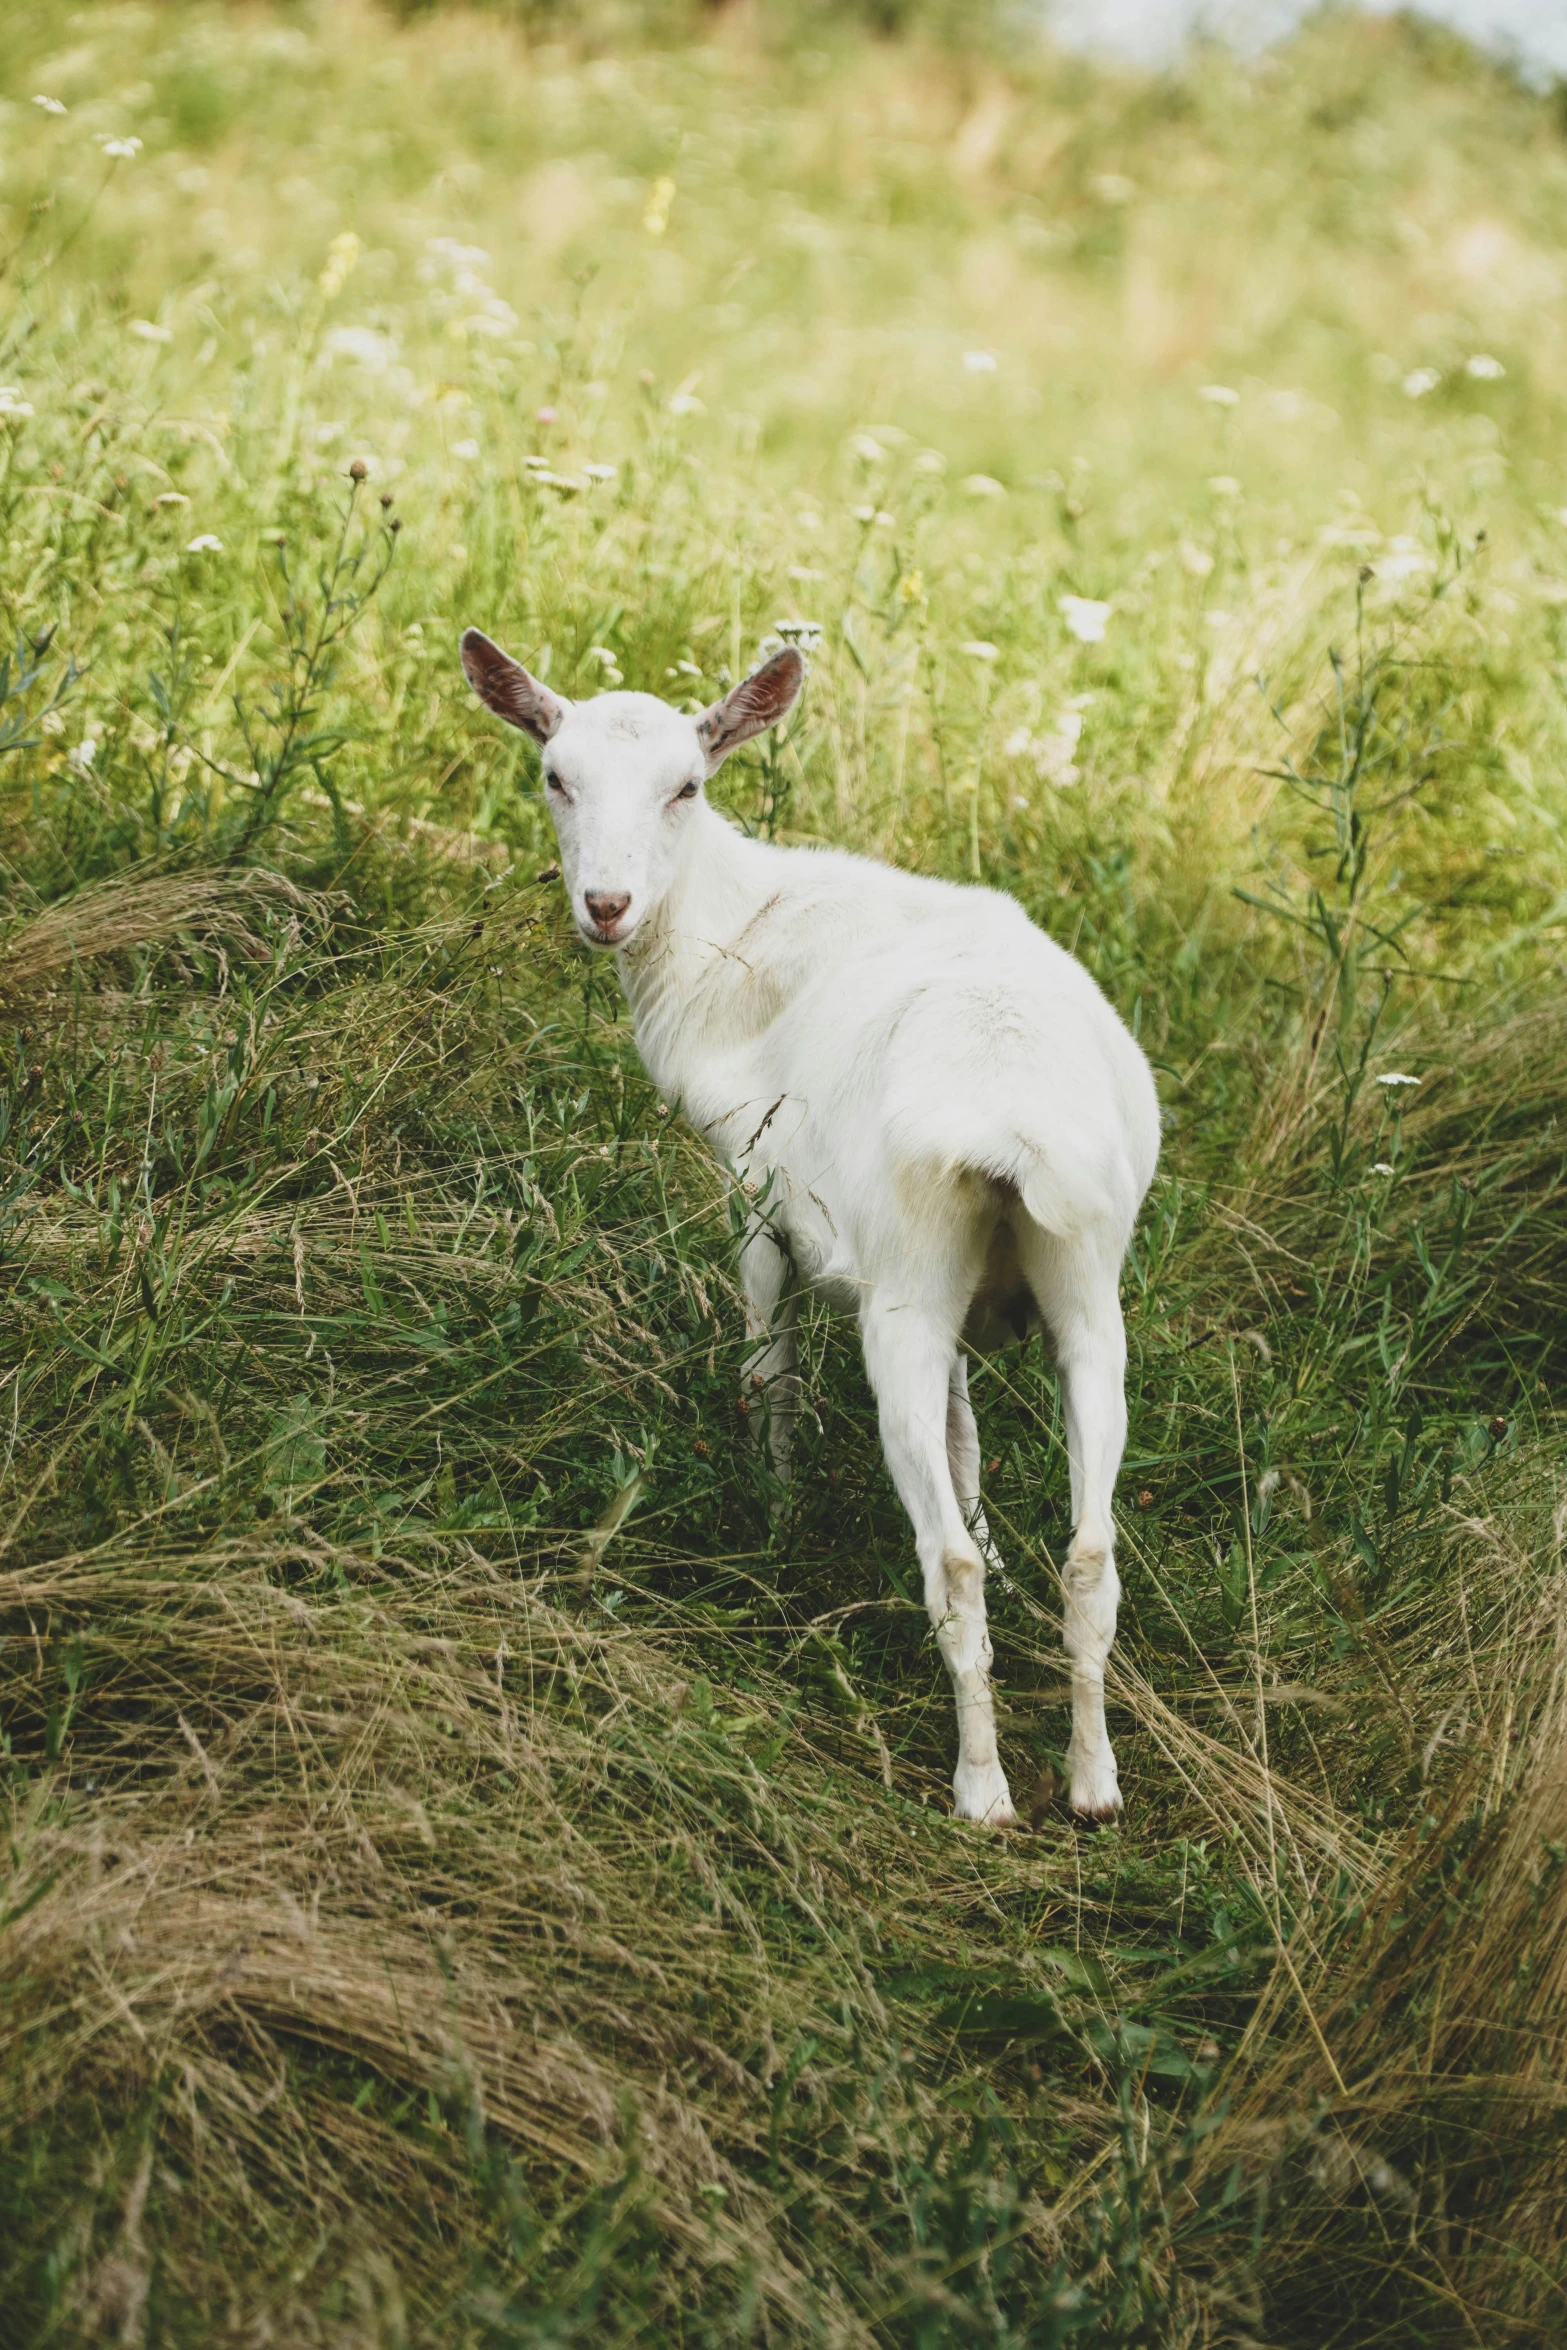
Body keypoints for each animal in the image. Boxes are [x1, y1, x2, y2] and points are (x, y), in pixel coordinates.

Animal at [460, 634, 1160, 1823]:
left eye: (686, 787)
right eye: (555, 775)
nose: (606, 904)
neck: (728, 933)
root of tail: (1014, 1124)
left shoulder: (756, 1188)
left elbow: (766, 1365)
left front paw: (773, 1512)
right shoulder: (952, 1289)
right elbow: (969, 1433)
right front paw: (990, 1535)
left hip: (902, 1299)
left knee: (942, 1564)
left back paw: (982, 1789)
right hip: (1075, 1288)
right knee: (1093, 1552)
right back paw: (1093, 1783)